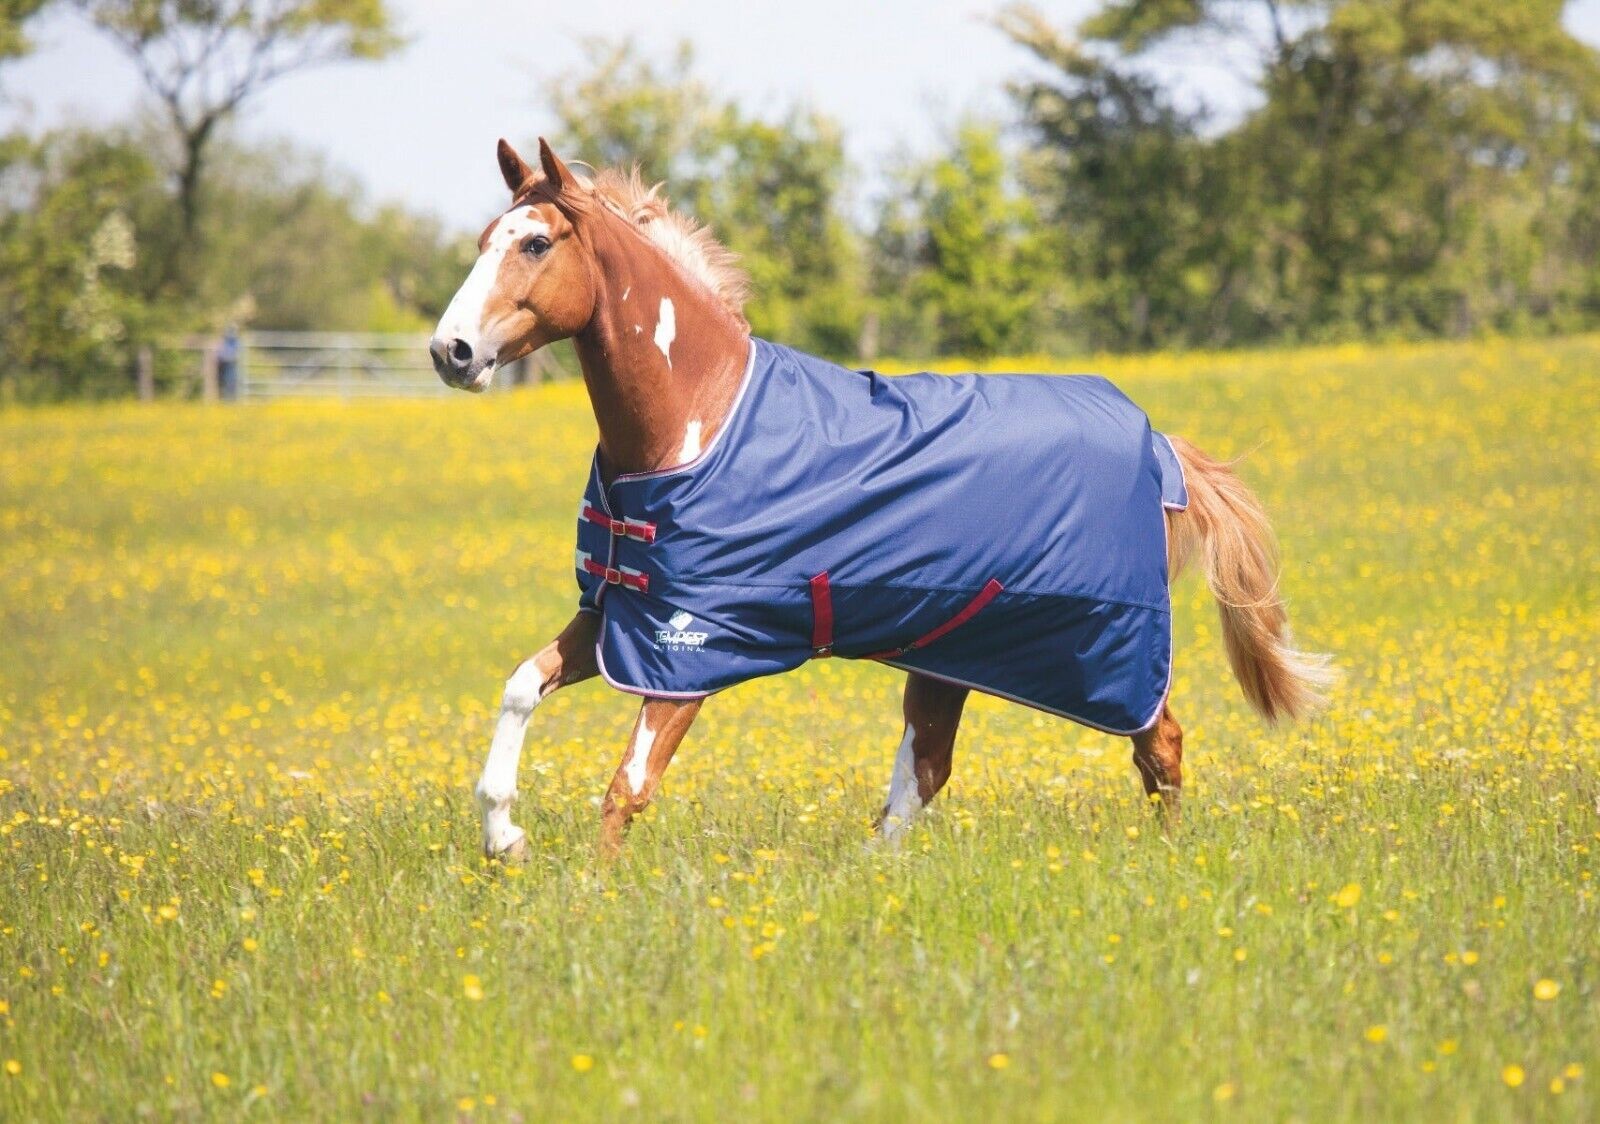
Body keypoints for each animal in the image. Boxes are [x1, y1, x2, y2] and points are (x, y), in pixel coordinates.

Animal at [429, 138, 1334, 860]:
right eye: (480, 243)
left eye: (536, 242)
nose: (451, 351)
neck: (697, 420)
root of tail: (1160, 446)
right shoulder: (621, 618)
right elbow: (520, 686)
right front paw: (504, 838)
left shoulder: (693, 646)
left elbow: (629, 785)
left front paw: (591, 889)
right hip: (955, 648)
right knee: (926, 770)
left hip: (1094, 647)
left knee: (1159, 743)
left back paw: (1170, 858)